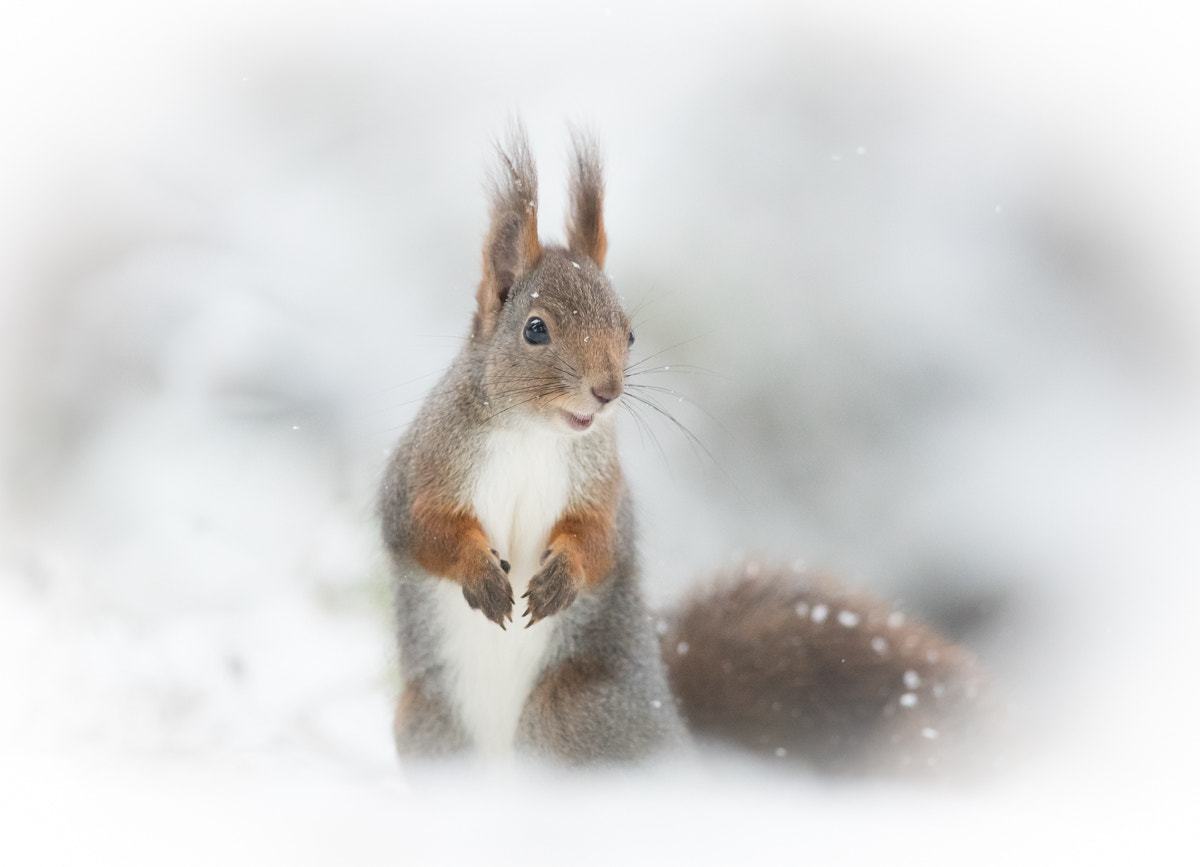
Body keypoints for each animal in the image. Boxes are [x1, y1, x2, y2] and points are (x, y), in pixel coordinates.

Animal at [379, 126, 998, 768]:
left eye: (629, 333)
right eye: (534, 329)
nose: (607, 392)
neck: (535, 437)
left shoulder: (605, 489)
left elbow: (602, 542)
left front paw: (563, 577)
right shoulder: (420, 470)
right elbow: (419, 529)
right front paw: (479, 572)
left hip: (572, 711)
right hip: (428, 724)